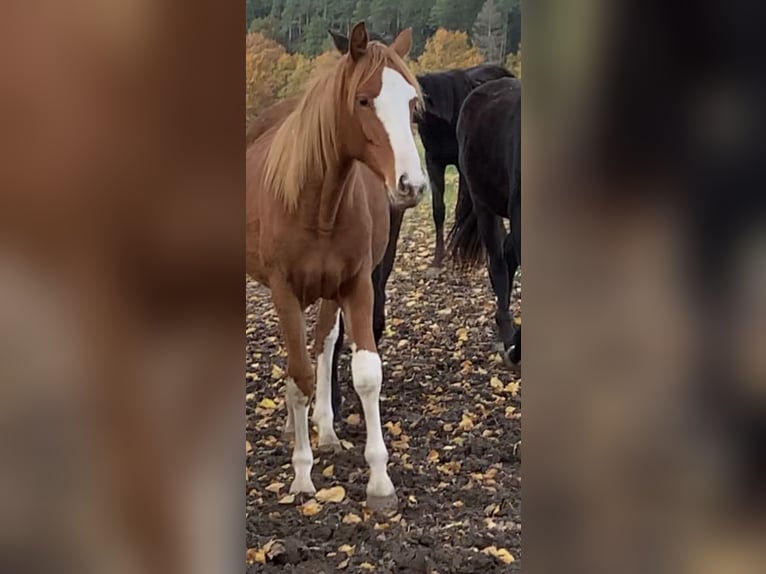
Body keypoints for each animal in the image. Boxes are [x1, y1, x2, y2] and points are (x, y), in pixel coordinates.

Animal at [246, 22, 426, 512]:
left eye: (413, 103)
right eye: (364, 100)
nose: (412, 185)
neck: (316, 202)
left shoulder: (357, 284)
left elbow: (364, 374)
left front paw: (380, 482)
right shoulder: (284, 291)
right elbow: (300, 375)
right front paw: (301, 475)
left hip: (331, 291)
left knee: (324, 346)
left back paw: (324, 429)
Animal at [415, 64, 514, 270]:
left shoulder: (462, 168)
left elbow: (460, 209)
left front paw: (457, 252)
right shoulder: (433, 162)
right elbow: (438, 210)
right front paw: (437, 260)